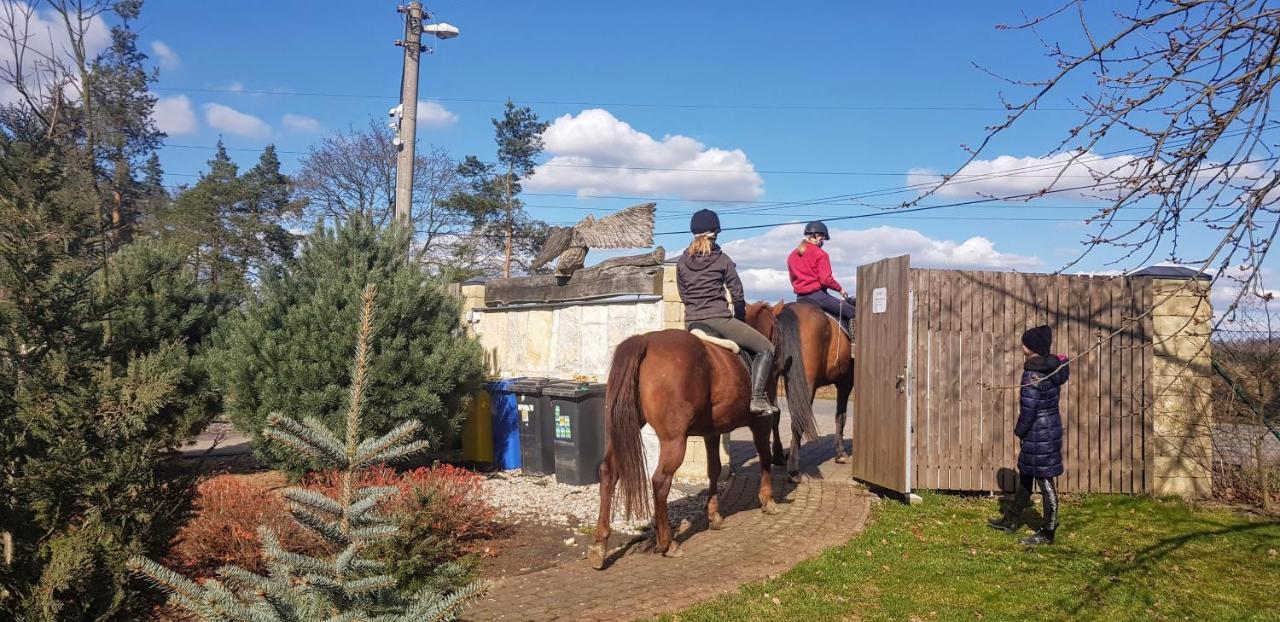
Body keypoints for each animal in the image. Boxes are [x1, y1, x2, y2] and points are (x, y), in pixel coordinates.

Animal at [588, 327, 819, 565]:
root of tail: (646, 340)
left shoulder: (712, 433)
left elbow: (714, 470)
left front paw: (714, 515)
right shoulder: (761, 423)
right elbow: (765, 458)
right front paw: (767, 499)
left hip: (625, 429)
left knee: (608, 472)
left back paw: (600, 545)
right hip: (674, 441)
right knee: (660, 482)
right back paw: (667, 543)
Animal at [768, 300, 860, 481]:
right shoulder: (845, 383)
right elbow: (841, 416)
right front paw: (840, 453)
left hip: (772, 378)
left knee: (775, 414)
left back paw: (779, 456)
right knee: (798, 419)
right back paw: (793, 469)